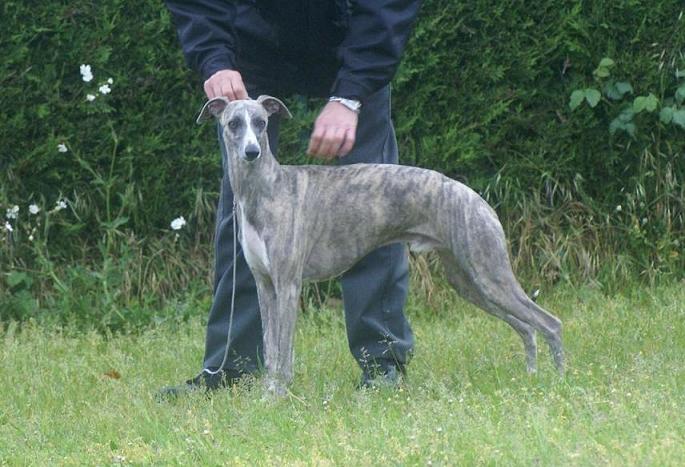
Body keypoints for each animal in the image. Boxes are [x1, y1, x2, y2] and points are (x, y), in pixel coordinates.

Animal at [196, 95, 560, 394]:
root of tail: (477, 200)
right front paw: (268, 395)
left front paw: (279, 396)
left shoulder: (288, 285)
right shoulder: (265, 285)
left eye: (261, 122)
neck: (266, 188)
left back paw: (557, 380)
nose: (251, 152)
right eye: (234, 123)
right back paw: (531, 375)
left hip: (490, 274)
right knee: (526, 328)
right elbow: (271, 349)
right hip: (469, 281)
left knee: (549, 323)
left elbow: (284, 352)